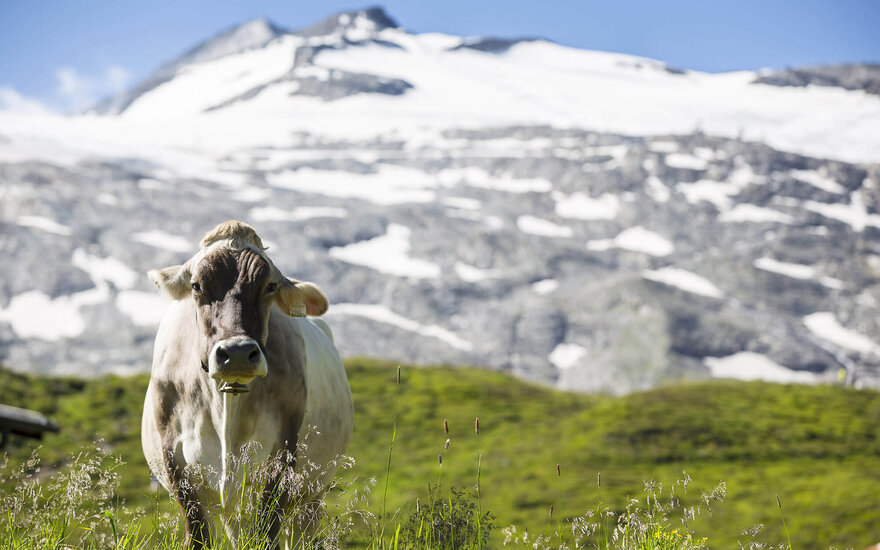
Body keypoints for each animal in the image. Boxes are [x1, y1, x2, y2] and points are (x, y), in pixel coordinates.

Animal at [141, 220, 354, 548]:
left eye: (270, 286)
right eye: (197, 285)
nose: (238, 352)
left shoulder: (282, 457)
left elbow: (267, 532)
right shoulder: (176, 463)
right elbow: (198, 535)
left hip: (310, 495)